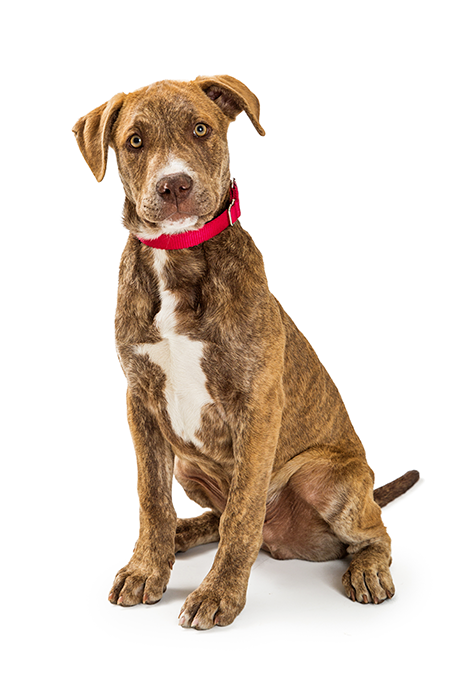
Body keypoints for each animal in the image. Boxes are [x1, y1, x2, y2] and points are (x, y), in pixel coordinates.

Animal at [72, 75, 418, 628]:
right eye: (134, 141)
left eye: (201, 129)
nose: (174, 185)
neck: (178, 257)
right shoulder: (140, 400)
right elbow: (152, 497)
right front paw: (148, 566)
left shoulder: (256, 406)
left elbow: (242, 512)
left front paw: (218, 594)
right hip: (188, 464)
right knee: (211, 515)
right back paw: (182, 534)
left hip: (327, 477)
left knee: (373, 531)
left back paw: (367, 571)